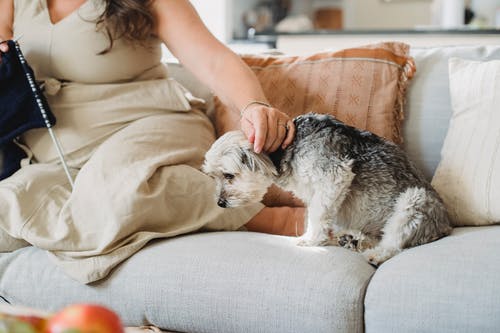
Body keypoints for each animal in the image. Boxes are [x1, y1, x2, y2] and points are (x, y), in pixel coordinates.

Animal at [201, 113, 452, 264]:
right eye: (213, 176)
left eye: (229, 175)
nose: (220, 203)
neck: (289, 148)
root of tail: (445, 226)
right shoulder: (317, 193)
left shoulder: (334, 178)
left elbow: (317, 216)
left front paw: (310, 240)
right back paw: (351, 239)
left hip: (414, 201)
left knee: (394, 243)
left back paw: (375, 254)